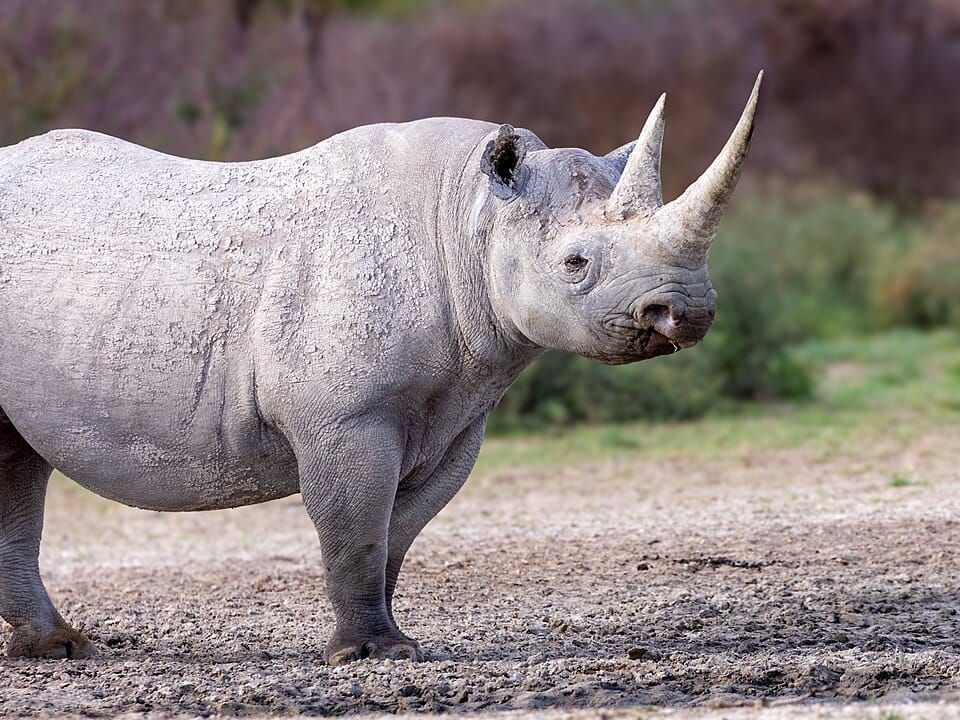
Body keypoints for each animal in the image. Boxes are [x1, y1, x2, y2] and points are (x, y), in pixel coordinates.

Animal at [0, 74, 760, 663]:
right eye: (575, 263)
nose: (686, 311)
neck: (471, 219)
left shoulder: (455, 417)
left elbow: (397, 533)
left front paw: (393, 642)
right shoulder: (345, 416)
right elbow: (357, 527)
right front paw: (368, 654)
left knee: (16, 464)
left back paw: (55, 650)